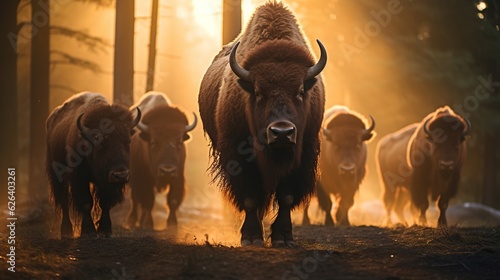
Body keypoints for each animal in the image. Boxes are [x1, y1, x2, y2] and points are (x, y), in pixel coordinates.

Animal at [46, 93, 140, 237]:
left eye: (128, 141)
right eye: (98, 141)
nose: (121, 175)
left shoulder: (105, 181)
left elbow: (105, 203)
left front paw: (105, 230)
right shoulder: (79, 178)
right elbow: (86, 202)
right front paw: (88, 231)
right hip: (58, 177)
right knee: (64, 201)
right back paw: (66, 231)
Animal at [127, 92, 197, 230]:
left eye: (179, 141)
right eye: (153, 141)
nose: (167, 171)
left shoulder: (178, 178)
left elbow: (173, 201)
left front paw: (172, 224)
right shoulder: (142, 179)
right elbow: (148, 200)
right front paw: (148, 223)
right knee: (135, 200)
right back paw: (132, 220)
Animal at [199, 2, 328, 247]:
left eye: (300, 91)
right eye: (258, 92)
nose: (282, 132)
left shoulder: (302, 152)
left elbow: (286, 196)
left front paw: (283, 238)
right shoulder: (239, 154)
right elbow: (251, 197)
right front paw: (251, 238)